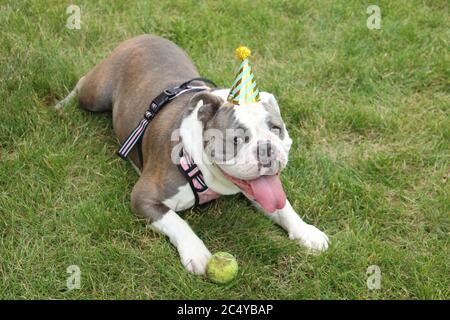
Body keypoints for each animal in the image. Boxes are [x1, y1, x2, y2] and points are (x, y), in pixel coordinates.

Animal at [57, 35, 330, 276]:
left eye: (276, 129)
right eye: (236, 139)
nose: (266, 148)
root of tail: (142, 36)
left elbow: (284, 207)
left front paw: (306, 232)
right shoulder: (144, 197)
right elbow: (178, 221)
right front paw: (197, 253)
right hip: (96, 94)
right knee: (82, 83)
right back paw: (61, 106)